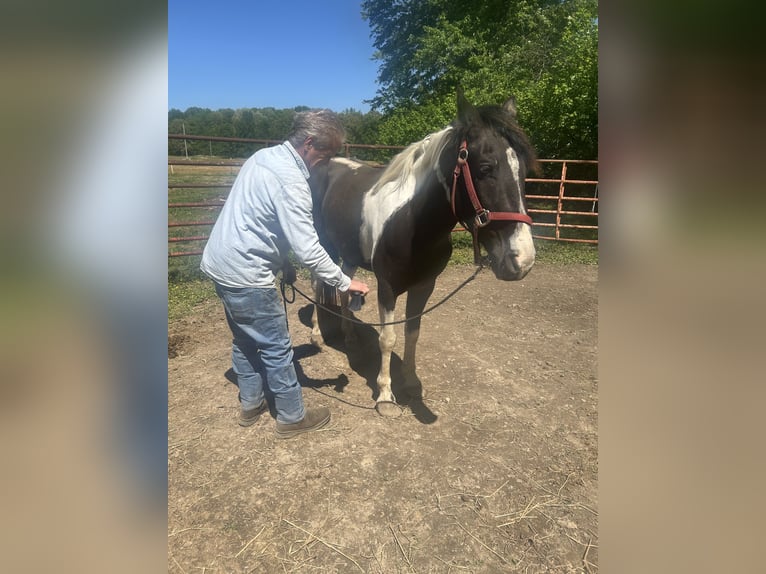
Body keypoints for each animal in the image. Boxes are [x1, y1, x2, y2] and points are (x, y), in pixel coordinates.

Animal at [309, 91, 537, 417]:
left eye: (524, 173)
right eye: (485, 169)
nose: (522, 260)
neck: (411, 223)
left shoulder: (424, 286)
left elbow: (412, 333)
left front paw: (411, 384)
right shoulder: (387, 287)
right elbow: (388, 338)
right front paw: (385, 395)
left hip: (348, 254)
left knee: (343, 285)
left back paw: (349, 335)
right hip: (320, 245)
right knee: (317, 284)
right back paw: (316, 335)